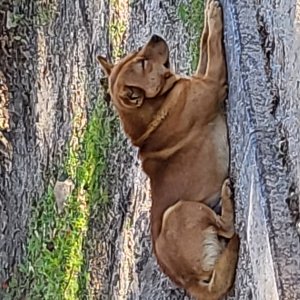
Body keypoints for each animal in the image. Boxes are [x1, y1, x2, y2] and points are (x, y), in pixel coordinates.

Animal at [98, 1, 239, 298]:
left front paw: (208, 11)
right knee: (229, 229)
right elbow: (212, 42)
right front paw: (214, 16)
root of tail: (186, 281)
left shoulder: (200, 76)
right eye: (142, 62)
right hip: (179, 211)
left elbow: (203, 43)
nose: (153, 36)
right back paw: (227, 196)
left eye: (136, 56)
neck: (158, 108)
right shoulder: (214, 81)